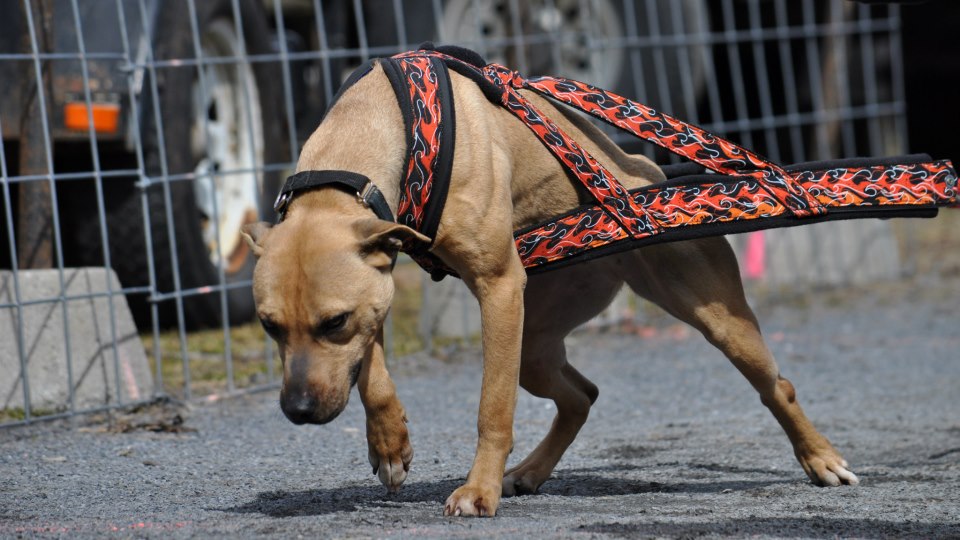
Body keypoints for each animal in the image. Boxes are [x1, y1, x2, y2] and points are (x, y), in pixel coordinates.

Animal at [244, 61, 860, 516]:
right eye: (269, 327)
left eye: (333, 322)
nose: (297, 411)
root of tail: (647, 177)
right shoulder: (379, 278)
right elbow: (371, 375)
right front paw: (390, 444)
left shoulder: (493, 288)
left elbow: (492, 409)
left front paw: (478, 492)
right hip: (534, 344)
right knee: (581, 396)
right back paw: (529, 473)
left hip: (716, 319)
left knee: (777, 387)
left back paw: (822, 460)